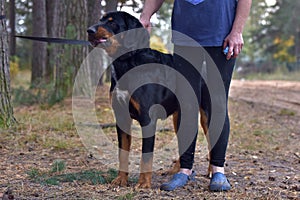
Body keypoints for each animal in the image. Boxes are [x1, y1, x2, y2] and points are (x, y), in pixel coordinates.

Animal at [86, 11, 211, 189]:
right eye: (100, 20)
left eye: (112, 22)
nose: (89, 30)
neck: (127, 63)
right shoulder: (121, 118)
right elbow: (122, 153)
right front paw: (121, 179)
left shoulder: (147, 119)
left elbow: (146, 156)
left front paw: (143, 183)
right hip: (179, 116)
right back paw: (176, 171)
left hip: (207, 114)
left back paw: (212, 172)